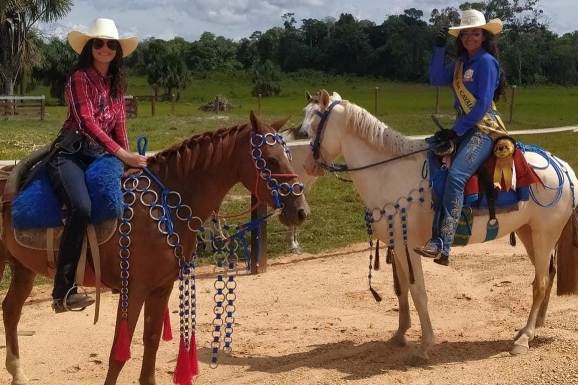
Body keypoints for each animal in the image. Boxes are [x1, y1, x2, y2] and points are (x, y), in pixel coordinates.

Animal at [0, 112, 308, 384]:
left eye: (289, 155)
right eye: (270, 159)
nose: (301, 210)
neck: (163, 206)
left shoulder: (161, 288)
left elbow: (151, 343)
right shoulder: (134, 291)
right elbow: (118, 353)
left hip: (22, 267)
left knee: (11, 310)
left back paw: (18, 374)